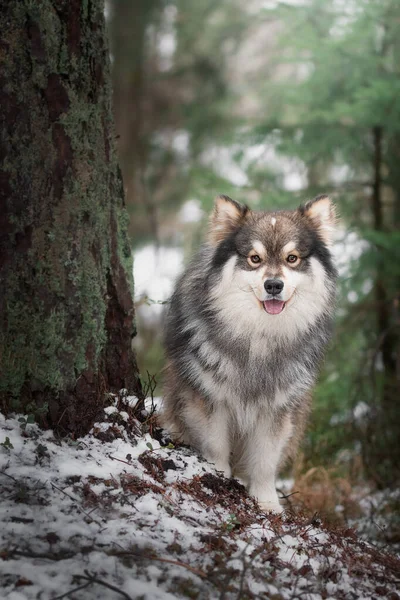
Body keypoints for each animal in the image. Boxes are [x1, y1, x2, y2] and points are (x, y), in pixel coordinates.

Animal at [161, 195, 336, 512]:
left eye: (292, 258)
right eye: (255, 259)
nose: (273, 285)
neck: (259, 336)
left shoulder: (276, 410)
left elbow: (265, 462)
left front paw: (267, 503)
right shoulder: (210, 400)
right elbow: (216, 447)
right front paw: (215, 478)